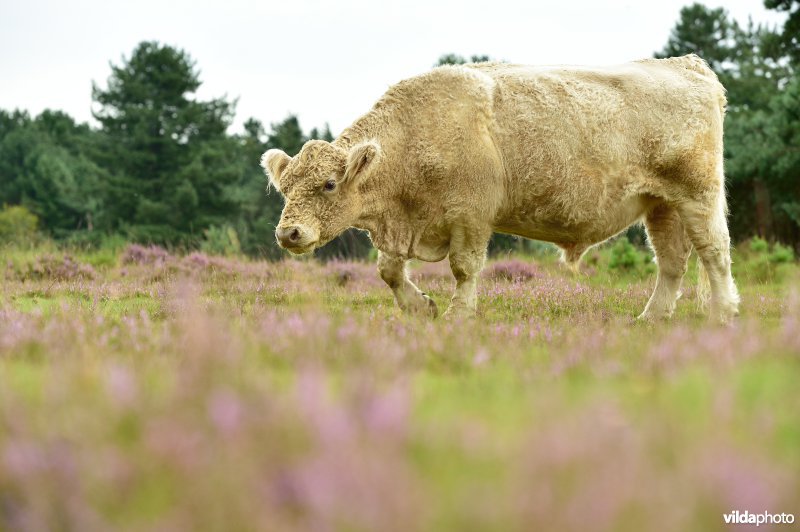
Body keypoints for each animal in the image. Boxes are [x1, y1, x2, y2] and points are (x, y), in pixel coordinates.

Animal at [266, 54, 740, 322]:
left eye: (329, 184)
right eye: (285, 187)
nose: (289, 233)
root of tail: (687, 64)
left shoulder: (471, 217)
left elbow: (464, 268)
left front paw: (458, 314)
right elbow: (389, 270)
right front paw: (421, 308)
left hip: (698, 195)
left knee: (714, 251)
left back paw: (723, 314)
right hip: (661, 205)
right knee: (672, 262)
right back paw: (652, 317)